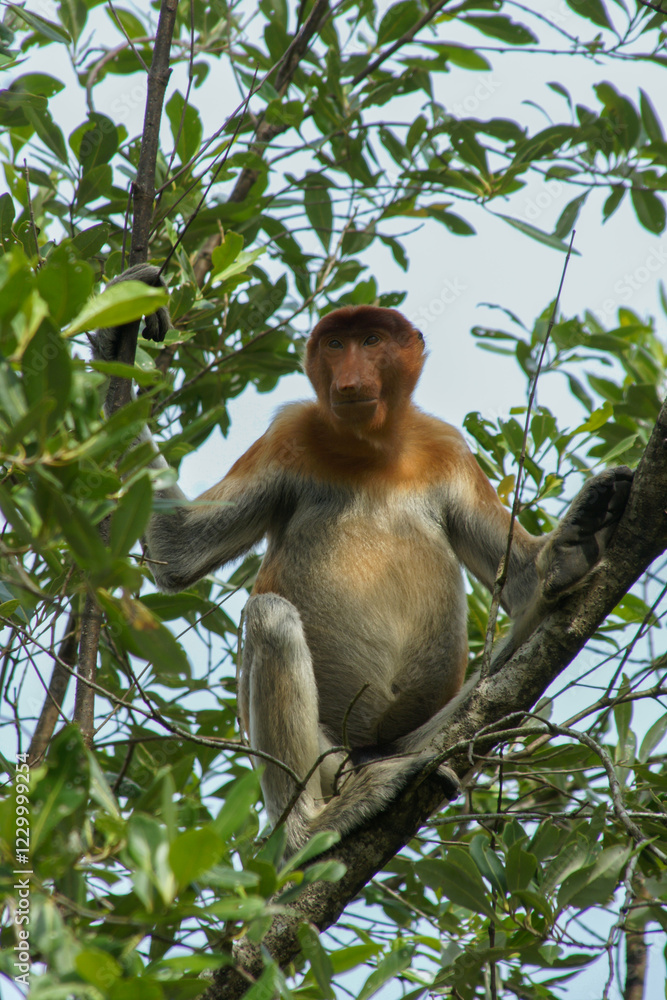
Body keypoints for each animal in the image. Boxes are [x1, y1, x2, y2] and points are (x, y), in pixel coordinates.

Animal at [91, 264, 633, 855]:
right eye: (335, 345)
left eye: (371, 341)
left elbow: (520, 590)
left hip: (421, 735)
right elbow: (178, 551)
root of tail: (367, 751)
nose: (349, 380)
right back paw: (310, 828)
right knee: (270, 617)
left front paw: (573, 543)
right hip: (323, 758)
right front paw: (115, 338)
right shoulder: (289, 433)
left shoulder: (448, 447)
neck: (372, 449)